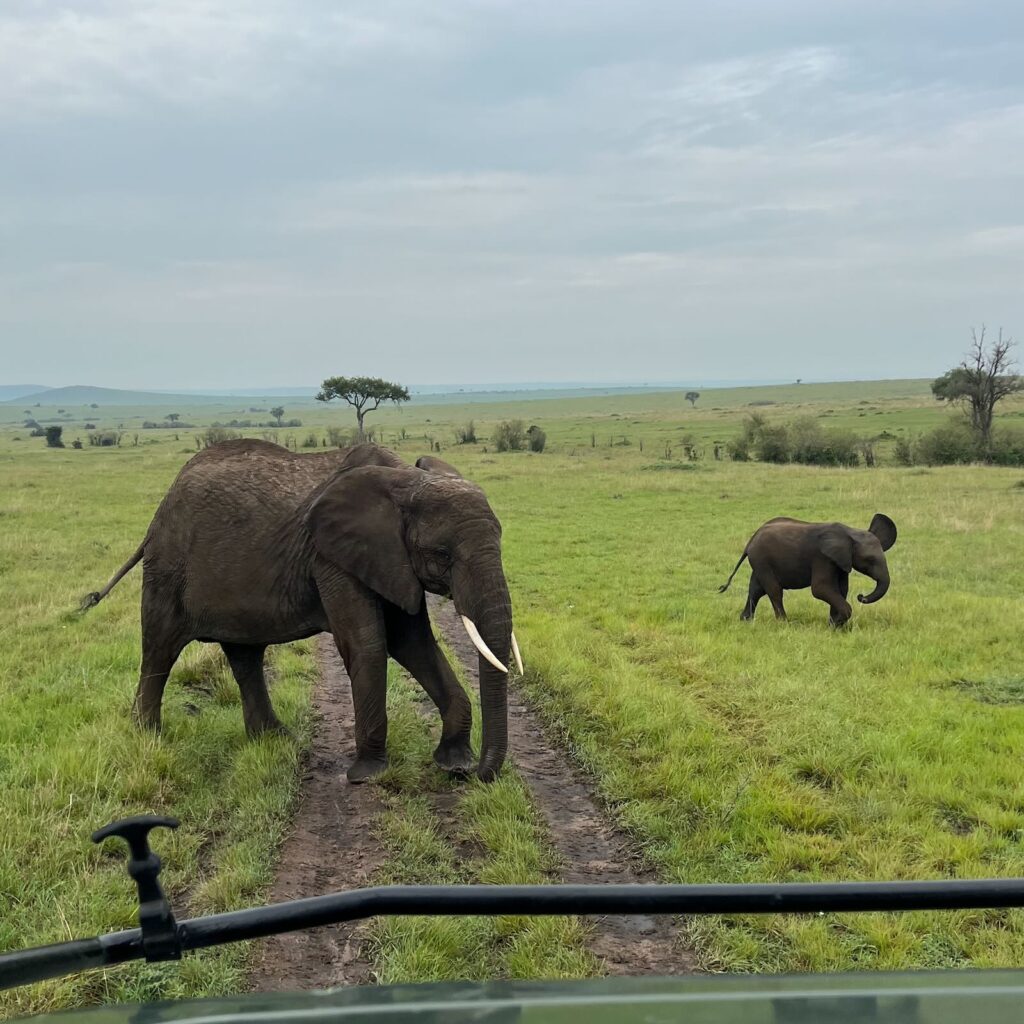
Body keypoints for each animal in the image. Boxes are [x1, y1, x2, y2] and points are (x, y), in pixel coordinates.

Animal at [82, 440, 522, 782]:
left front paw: (453, 763)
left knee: (244, 656)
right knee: (159, 648)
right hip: (168, 565)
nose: (482, 775)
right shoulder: (331, 557)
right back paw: (149, 737)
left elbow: (412, 642)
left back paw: (274, 740)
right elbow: (368, 644)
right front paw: (367, 774)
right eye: (442, 554)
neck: (404, 481)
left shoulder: (390, 561)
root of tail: (162, 506)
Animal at [718, 513, 897, 626]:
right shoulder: (822, 558)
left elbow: (841, 589)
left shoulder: (840, 562)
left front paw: (836, 626)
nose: (861, 597)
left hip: (759, 562)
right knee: (774, 590)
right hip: (761, 559)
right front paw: (837, 624)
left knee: (756, 590)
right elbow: (820, 589)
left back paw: (745, 621)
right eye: (870, 560)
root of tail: (750, 540)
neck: (850, 533)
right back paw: (784, 624)